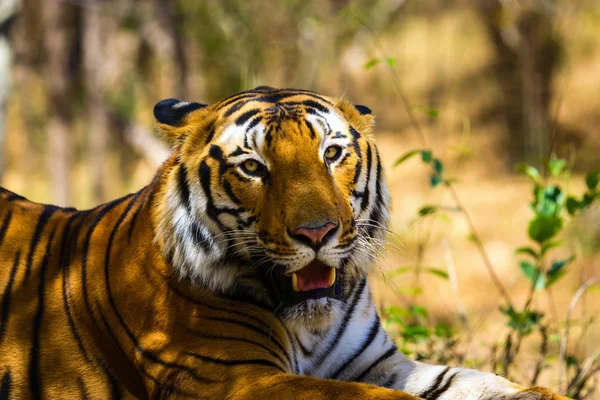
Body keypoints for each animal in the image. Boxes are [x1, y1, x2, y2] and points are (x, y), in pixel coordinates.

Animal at [0, 87, 568, 400]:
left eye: (332, 154)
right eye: (253, 167)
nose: (317, 233)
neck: (309, 327)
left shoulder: (380, 363)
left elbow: (480, 382)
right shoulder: (234, 379)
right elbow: (364, 399)